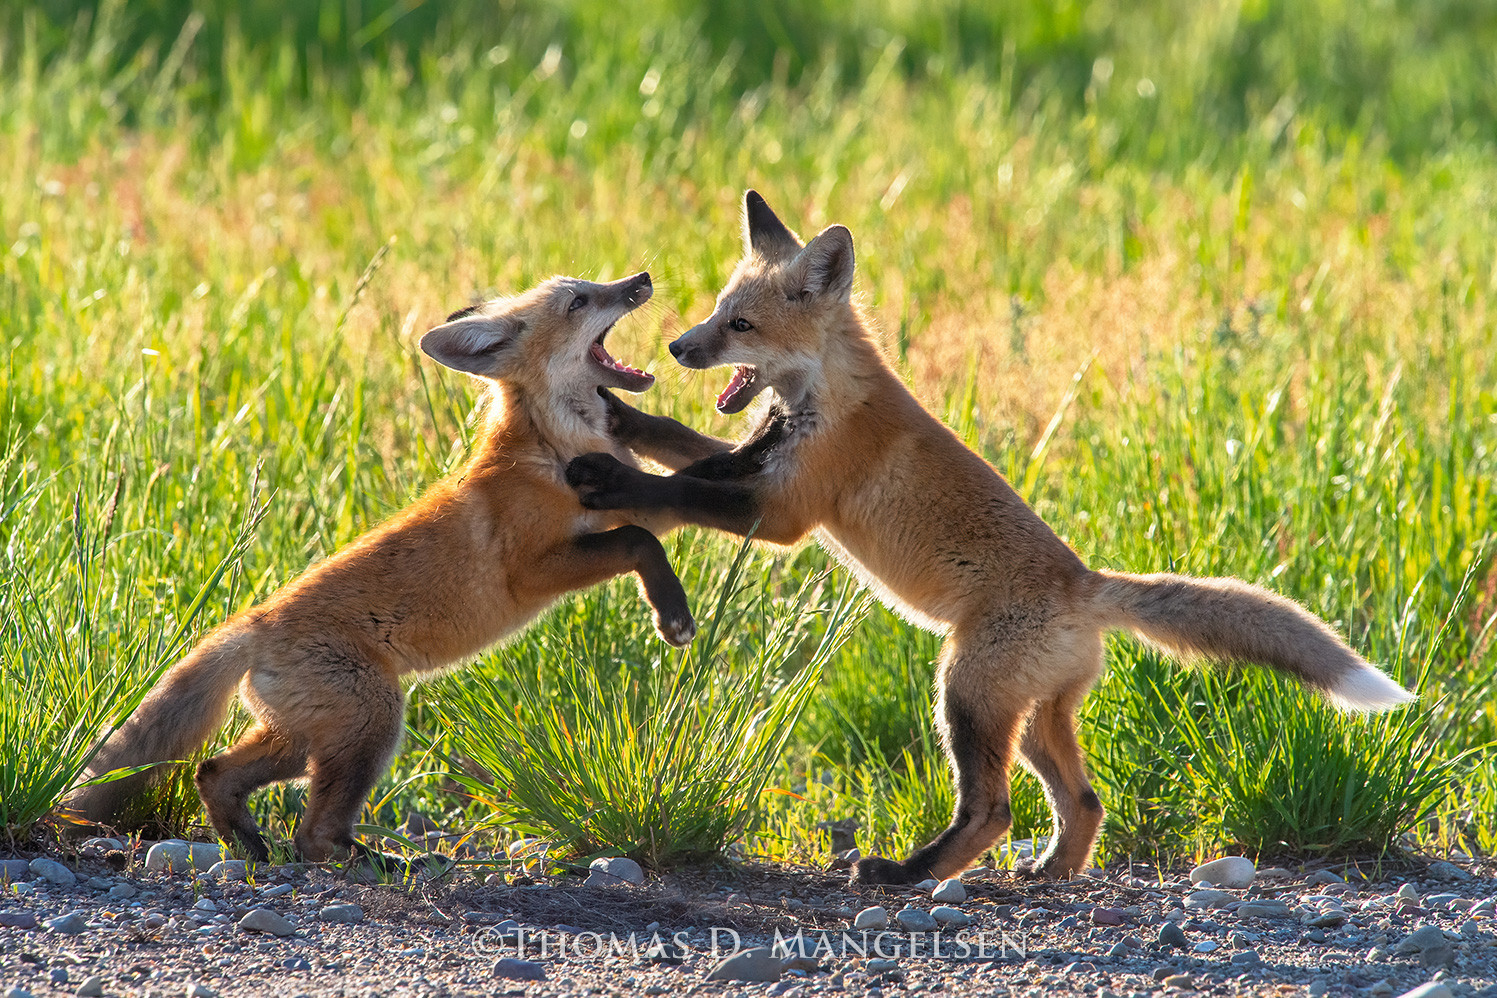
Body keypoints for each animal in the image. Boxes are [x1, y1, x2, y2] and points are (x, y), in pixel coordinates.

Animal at [60, 271, 696, 865]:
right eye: (579, 301)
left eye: (593, 285)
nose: (641, 279)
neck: (551, 447)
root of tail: (253, 624)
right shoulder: (533, 569)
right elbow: (638, 541)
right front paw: (674, 615)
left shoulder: (632, 498)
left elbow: (664, 508)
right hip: (372, 722)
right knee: (312, 835)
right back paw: (374, 862)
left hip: (305, 738)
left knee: (214, 773)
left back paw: (250, 844)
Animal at [565, 192, 1416, 885]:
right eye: (714, 310)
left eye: (739, 324)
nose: (678, 347)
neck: (819, 400)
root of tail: (1085, 586)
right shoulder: (756, 460)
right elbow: (676, 444)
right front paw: (621, 417)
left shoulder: (783, 511)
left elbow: (680, 487)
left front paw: (610, 479)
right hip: (1034, 717)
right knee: (1085, 799)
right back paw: (1052, 871)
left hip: (964, 693)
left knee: (993, 812)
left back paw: (905, 874)